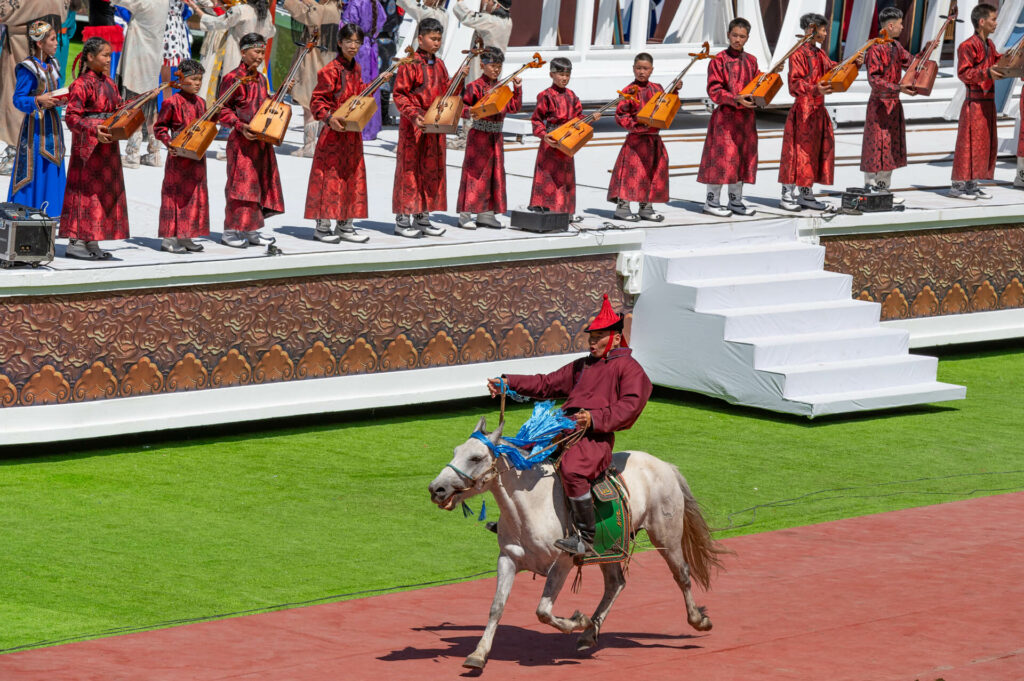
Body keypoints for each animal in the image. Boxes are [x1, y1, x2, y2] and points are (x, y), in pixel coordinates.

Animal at [428, 413, 724, 667]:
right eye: (455, 452)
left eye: (476, 457)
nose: (436, 488)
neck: (532, 506)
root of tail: (665, 466)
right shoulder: (508, 558)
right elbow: (496, 608)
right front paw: (478, 654)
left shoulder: (562, 562)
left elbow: (543, 611)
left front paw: (577, 621)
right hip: (610, 548)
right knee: (616, 584)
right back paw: (590, 632)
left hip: (667, 535)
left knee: (681, 574)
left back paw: (698, 620)